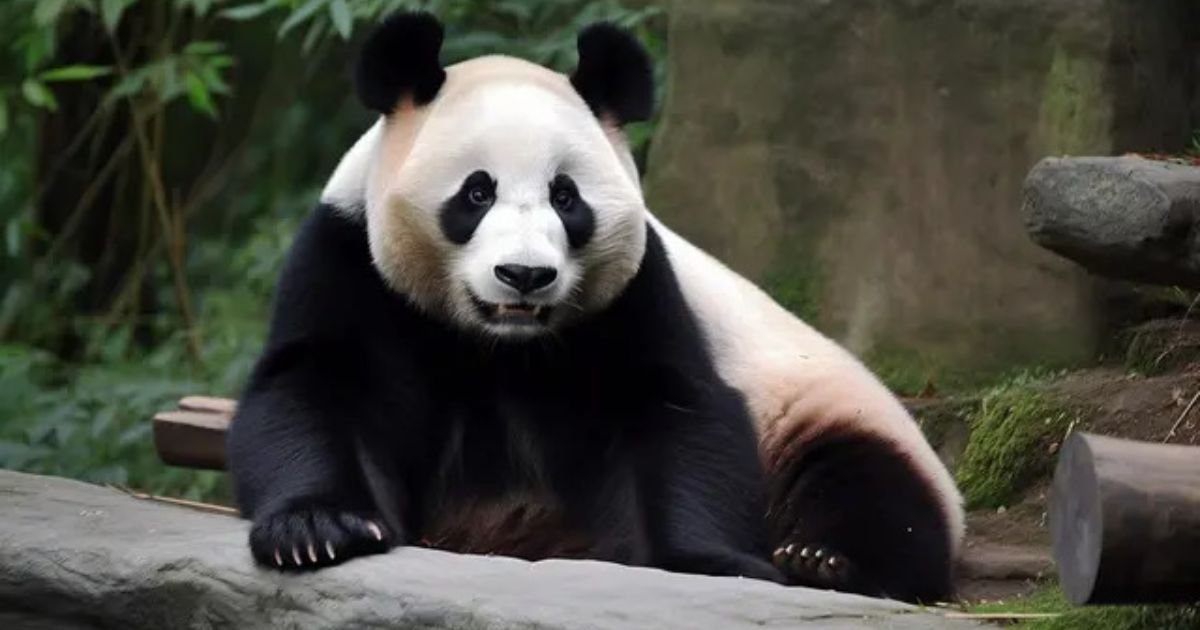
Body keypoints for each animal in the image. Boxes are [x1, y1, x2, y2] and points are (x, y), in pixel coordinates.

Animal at [228, 10, 964, 605]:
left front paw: (711, 561)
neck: (499, 343)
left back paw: (823, 559)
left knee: (869, 486)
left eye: (566, 197)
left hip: (828, 411)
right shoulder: (349, 258)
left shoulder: (635, 291)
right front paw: (316, 529)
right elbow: (313, 387)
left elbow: (677, 409)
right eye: (476, 193)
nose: (524, 275)